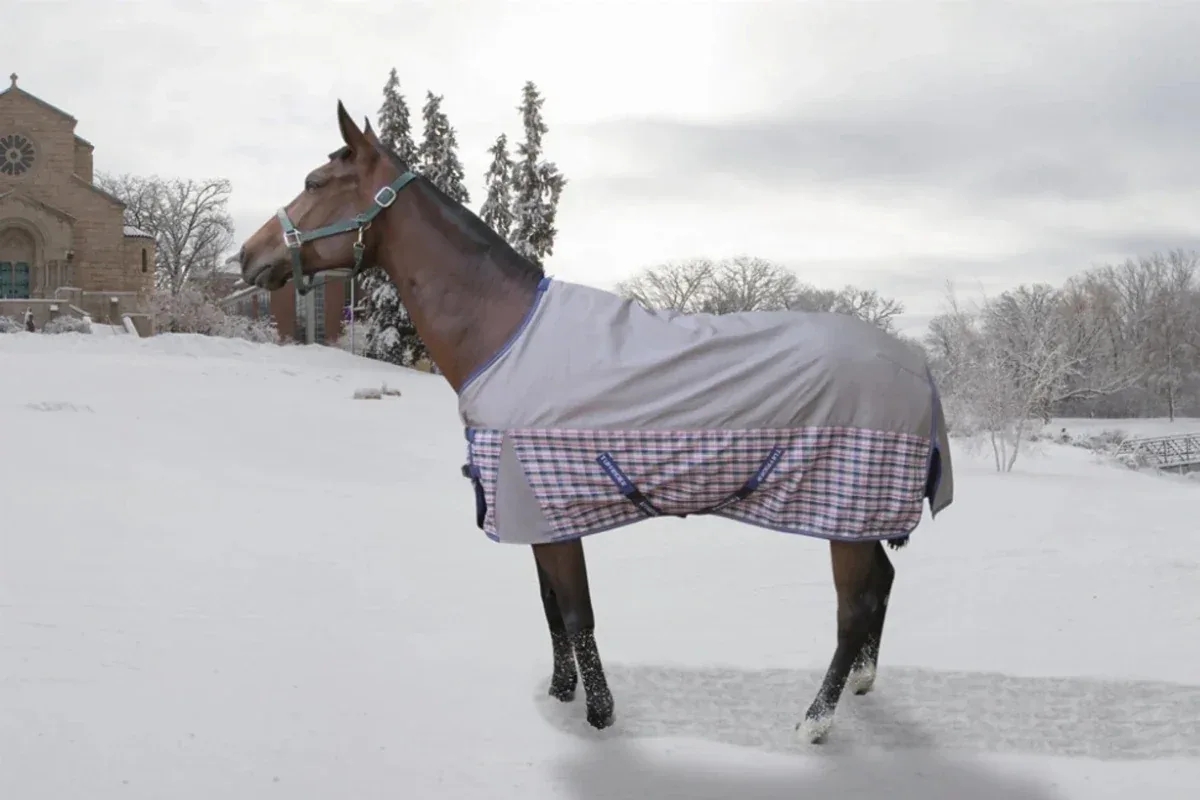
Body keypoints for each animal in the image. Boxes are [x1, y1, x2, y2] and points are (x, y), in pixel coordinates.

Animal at [232, 101, 954, 743]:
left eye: (314, 183)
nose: (246, 257)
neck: (505, 333)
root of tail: (917, 364)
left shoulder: (550, 508)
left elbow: (577, 612)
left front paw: (600, 716)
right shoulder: (539, 515)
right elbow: (552, 610)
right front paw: (560, 696)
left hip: (846, 513)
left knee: (853, 608)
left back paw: (815, 722)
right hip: (859, 519)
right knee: (880, 587)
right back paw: (860, 685)